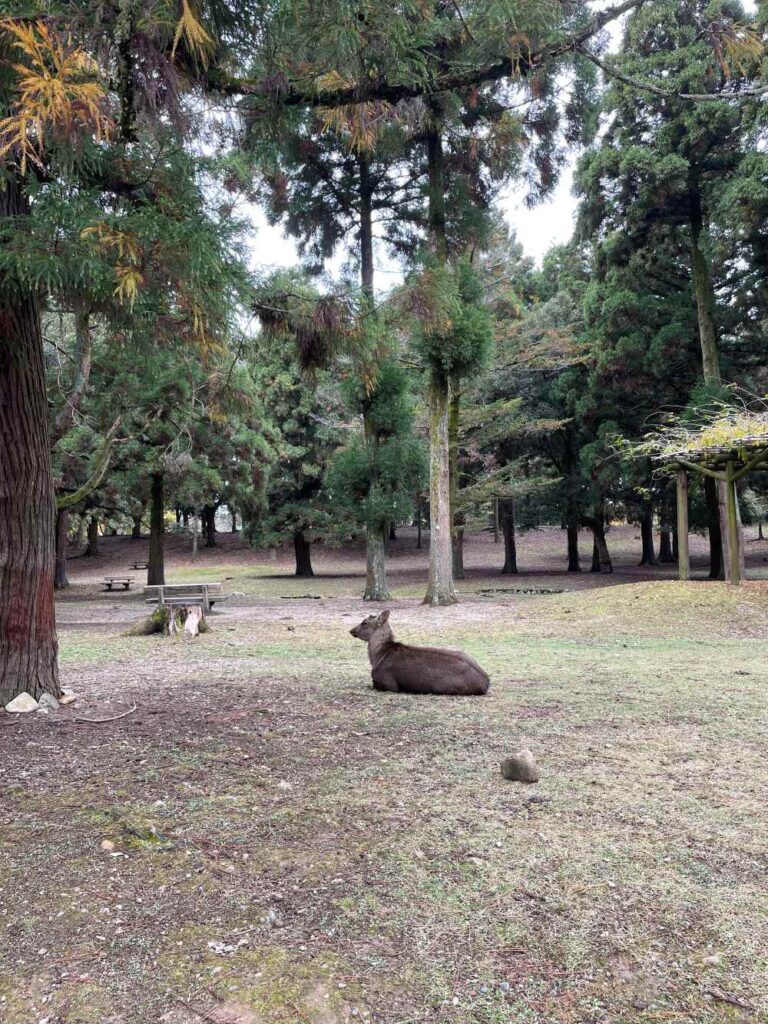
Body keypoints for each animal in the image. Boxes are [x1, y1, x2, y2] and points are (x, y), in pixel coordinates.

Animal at [350, 610, 490, 696]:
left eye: (364, 622)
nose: (351, 630)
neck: (377, 656)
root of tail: (486, 682)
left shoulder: (388, 683)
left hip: (445, 687)